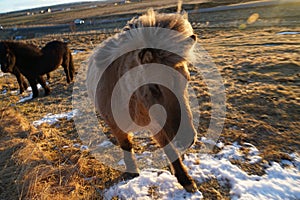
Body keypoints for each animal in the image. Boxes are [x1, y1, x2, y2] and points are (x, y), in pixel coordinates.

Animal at [87, 9, 197, 192]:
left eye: (187, 80)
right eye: (153, 86)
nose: (187, 139)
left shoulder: (157, 125)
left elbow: (170, 149)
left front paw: (186, 180)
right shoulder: (117, 126)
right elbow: (126, 145)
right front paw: (133, 172)